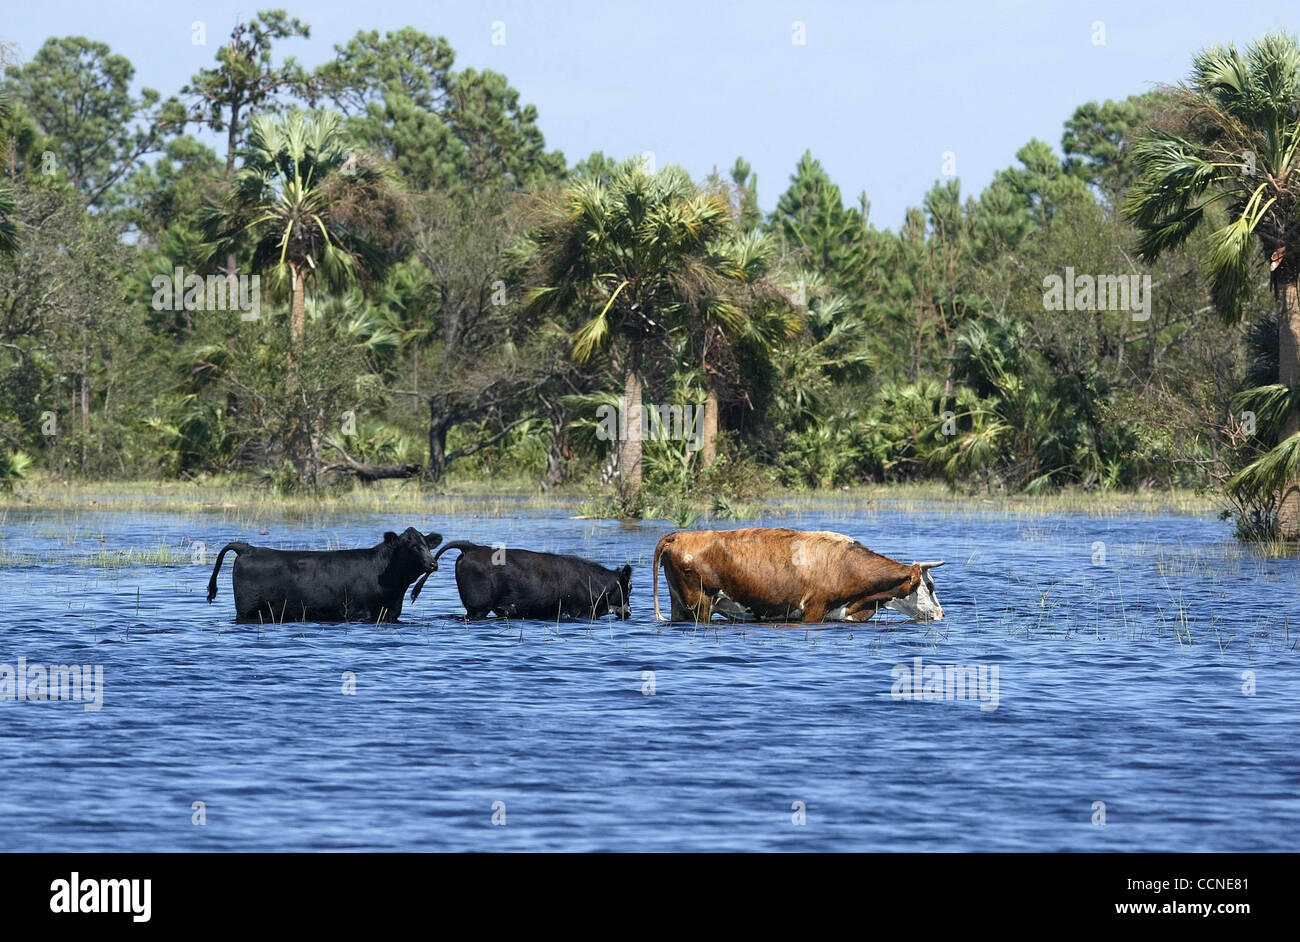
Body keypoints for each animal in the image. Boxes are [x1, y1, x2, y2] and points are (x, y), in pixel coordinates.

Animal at [205, 524, 441, 621]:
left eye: (426, 544)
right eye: (410, 545)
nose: (433, 564)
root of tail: (249, 548)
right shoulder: (359, 611)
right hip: (248, 610)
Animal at [650, 530, 946, 623]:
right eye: (930, 586)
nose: (942, 614)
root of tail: (680, 534)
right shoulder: (813, 609)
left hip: (680, 604)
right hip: (699, 604)